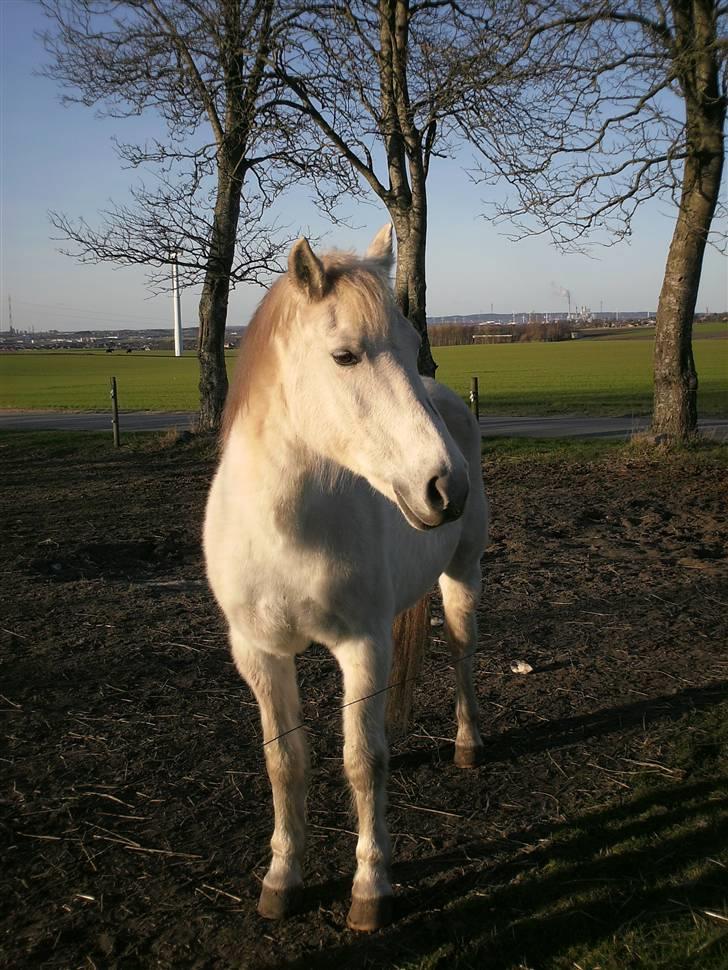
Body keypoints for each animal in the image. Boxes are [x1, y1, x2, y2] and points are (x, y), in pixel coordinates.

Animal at [205, 227, 490, 932]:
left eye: (412, 349)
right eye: (344, 356)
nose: (447, 488)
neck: (288, 529)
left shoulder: (362, 647)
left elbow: (363, 761)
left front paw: (371, 886)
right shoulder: (259, 655)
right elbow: (285, 762)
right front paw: (282, 878)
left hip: (463, 576)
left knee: (462, 653)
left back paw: (468, 742)